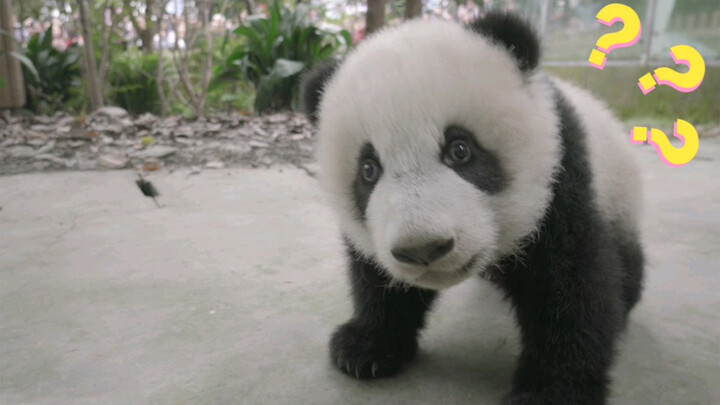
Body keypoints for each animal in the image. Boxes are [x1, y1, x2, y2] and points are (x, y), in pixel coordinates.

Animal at [300, 10, 644, 404]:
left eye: (460, 149)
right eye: (369, 170)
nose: (423, 249)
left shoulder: (561, 177)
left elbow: (570, 283)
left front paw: (550, 390)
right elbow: (375, 276)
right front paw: (365, 347)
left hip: (618, 192)